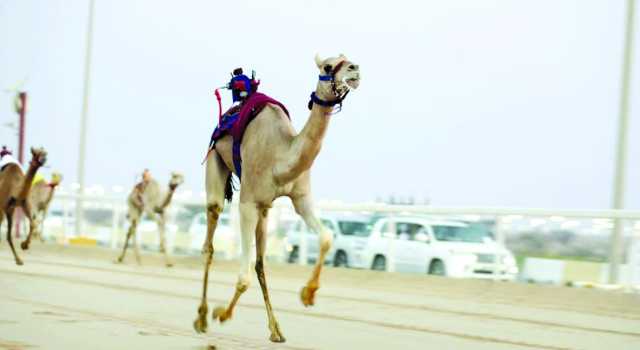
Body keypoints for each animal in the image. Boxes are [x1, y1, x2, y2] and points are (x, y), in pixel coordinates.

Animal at [192, 54, 360, 342]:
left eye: (346, 59)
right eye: (328, 66)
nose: (354, 70)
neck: (281, 156)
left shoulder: (300, 197)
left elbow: (326, 238)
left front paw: (308, 294)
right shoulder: (247, 202)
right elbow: (243, 277)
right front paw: (221, 314)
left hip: (266, 209)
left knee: (260, 263)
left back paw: (276, 329)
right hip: (215, 161)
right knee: (210, 239)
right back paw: (202, 317)